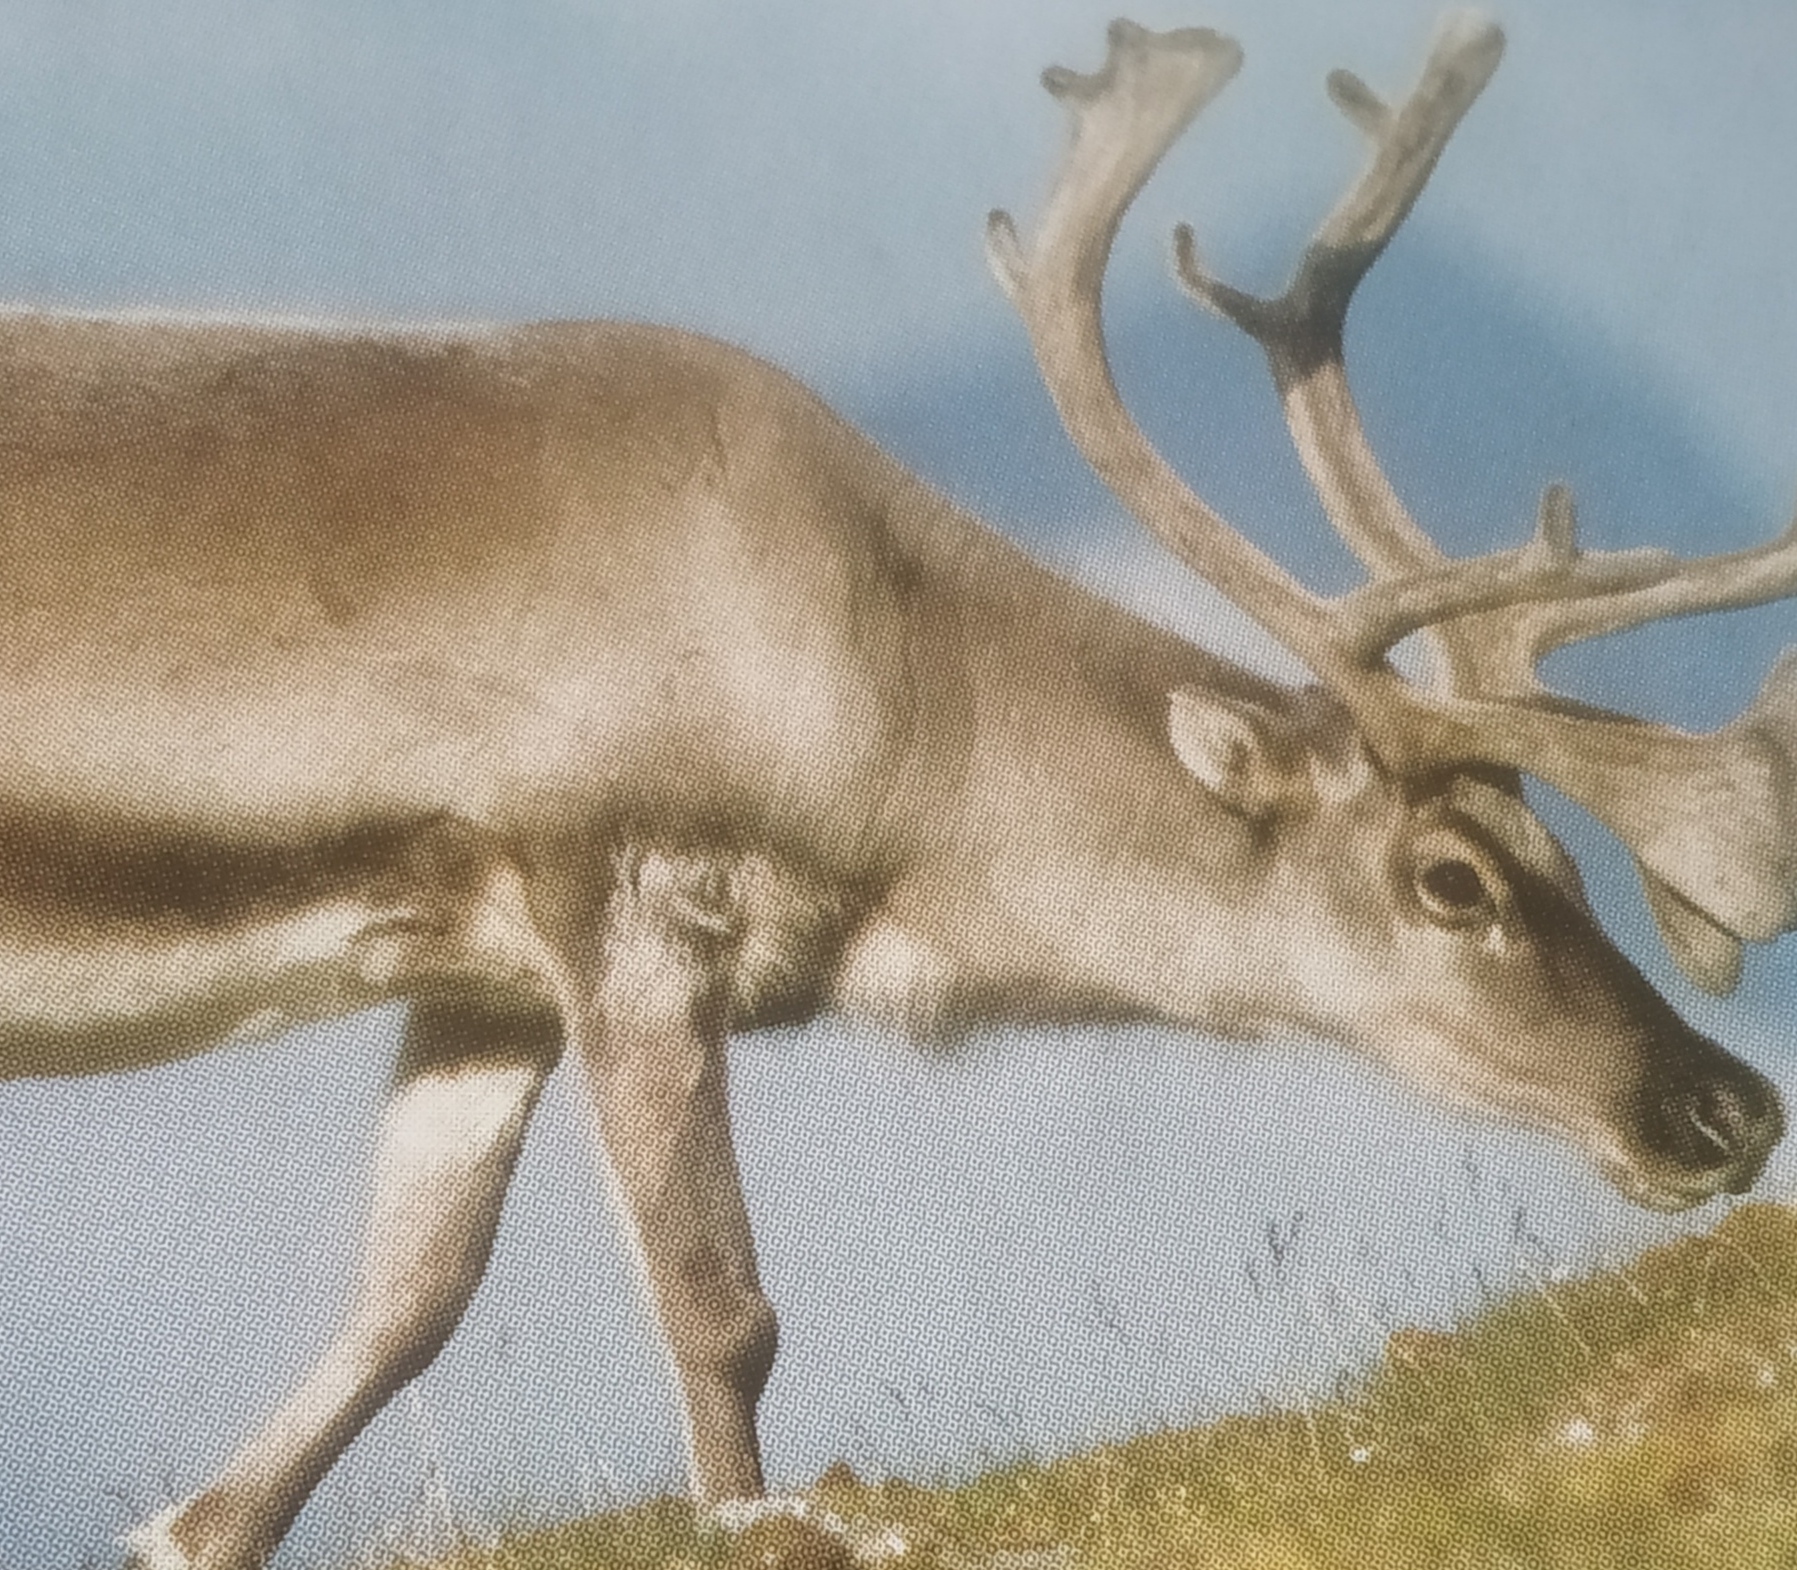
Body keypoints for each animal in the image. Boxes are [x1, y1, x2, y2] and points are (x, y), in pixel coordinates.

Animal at [0, 11, 1775, 1569]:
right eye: (1449, 873)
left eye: (1564, 852)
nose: (1725, 1102)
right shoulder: (633, 885)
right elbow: (721, 1307)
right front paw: (745, 1514)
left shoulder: (480, 969)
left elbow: (409, 1295)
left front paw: (194, 1522)